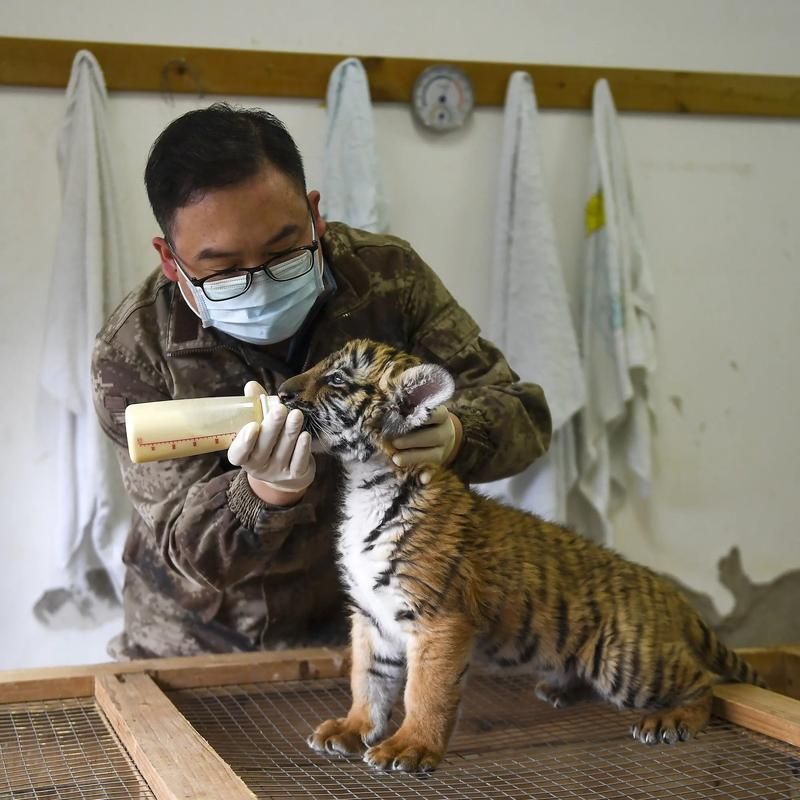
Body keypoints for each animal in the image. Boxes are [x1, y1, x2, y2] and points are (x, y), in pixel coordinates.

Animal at [278, 338, 765, 773]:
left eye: (336, 380)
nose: (281, 390)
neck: (367, 486)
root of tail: (664, 587)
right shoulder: (371, 616)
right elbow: (368, 681)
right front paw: (352, 728)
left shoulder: (439, 620)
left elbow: (424, 692)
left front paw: (410, 747)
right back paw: (559, 689)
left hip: (626, 662)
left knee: (703, 684)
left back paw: (671, 720)